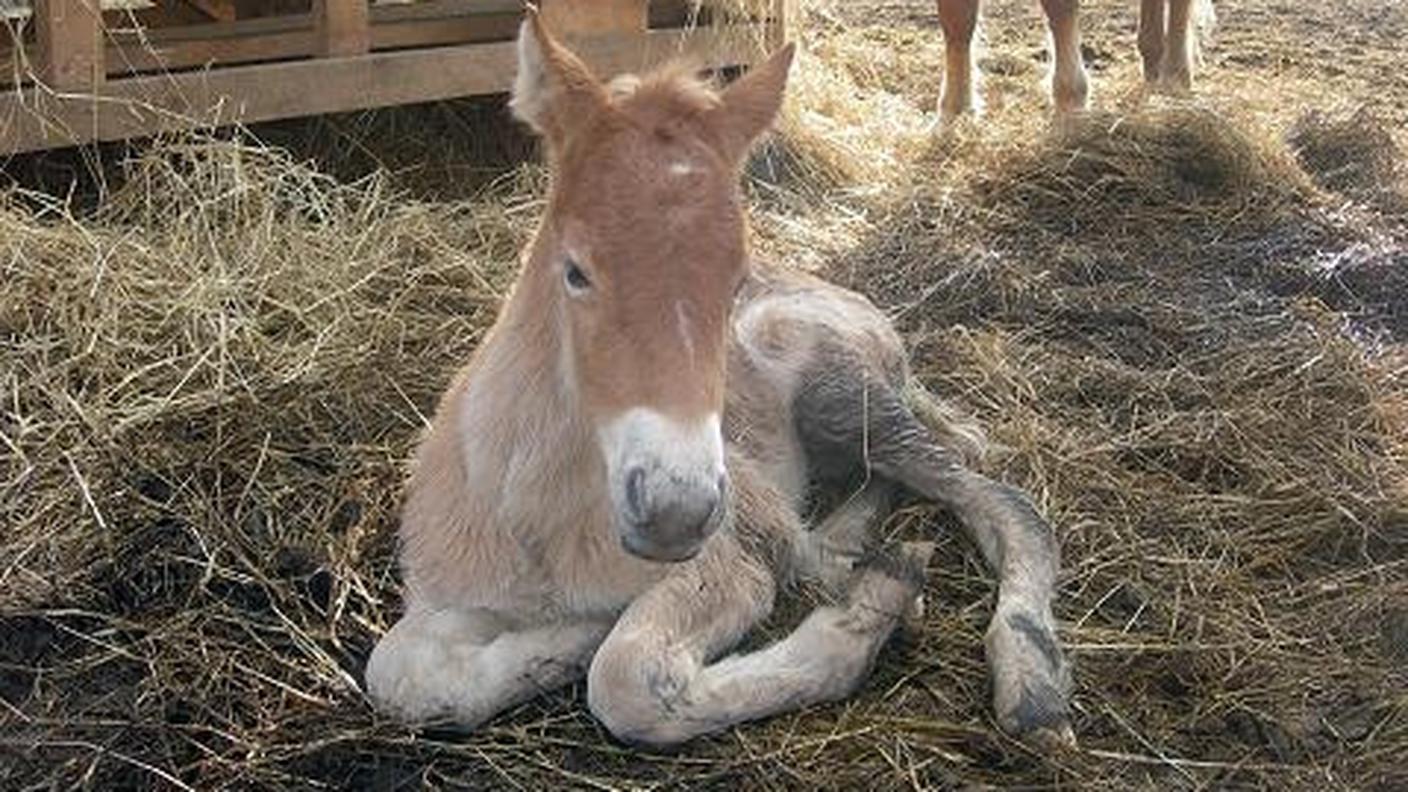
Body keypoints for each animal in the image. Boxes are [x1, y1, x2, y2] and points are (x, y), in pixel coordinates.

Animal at [368, 9, 1070, 744]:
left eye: (734, 278)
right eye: (576, 269)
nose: (675, 512)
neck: (539, 520)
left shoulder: (727, 562)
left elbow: (626, 679)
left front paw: (865, 619)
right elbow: (402, 675)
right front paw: (570, 638)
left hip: (841, 393)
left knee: (995, 494)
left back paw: (1029, 682)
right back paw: (846, 554)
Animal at [934, 0, 1210, 120]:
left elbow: (1059, 10)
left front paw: (1070, 101)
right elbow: (957, 21)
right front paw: (954, 114)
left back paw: (1174, 80)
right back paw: (1153, 68)